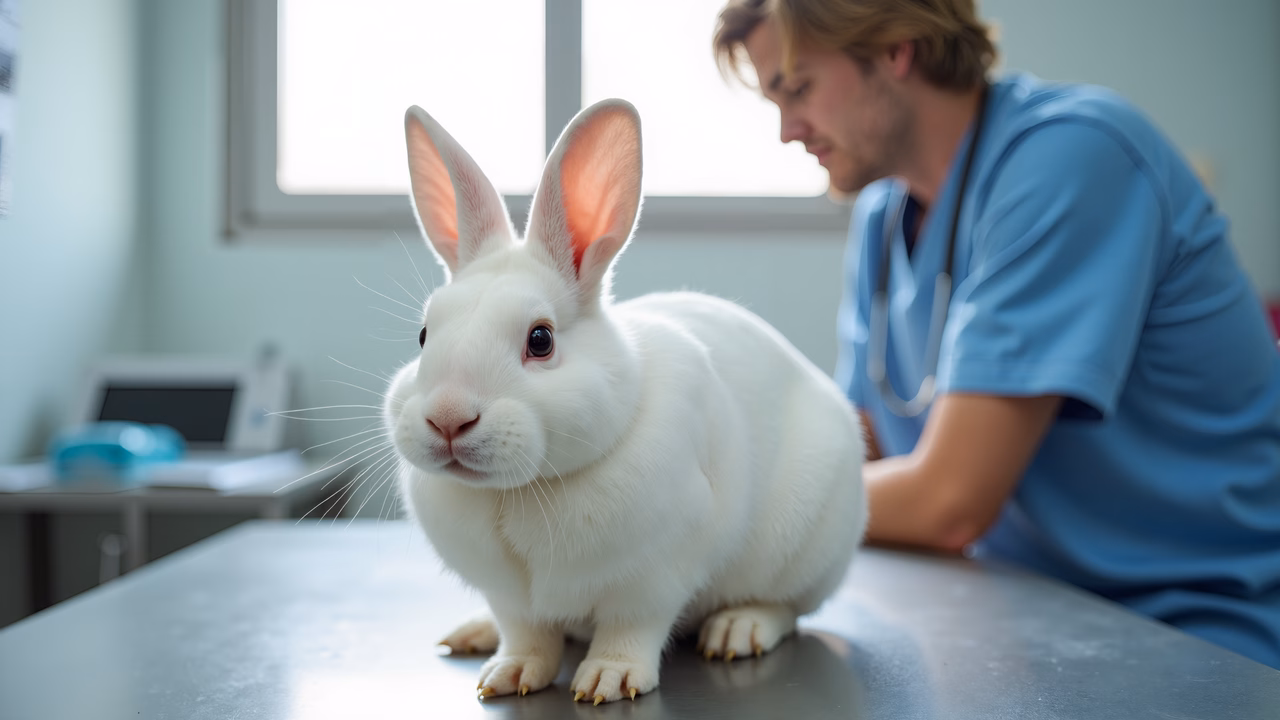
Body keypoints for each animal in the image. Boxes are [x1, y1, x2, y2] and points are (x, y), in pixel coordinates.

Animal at [384, 97, 867, 705]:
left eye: (540, 340)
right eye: (425, 335)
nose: (448, 419)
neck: (518, 493)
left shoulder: (653, 577)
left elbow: (630, 629)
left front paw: (607, 680)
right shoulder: (509, 596)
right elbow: (526, 635)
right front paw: (507, 674)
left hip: (804, 552)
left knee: (788, 609)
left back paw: (738, 629)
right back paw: (473, 634)